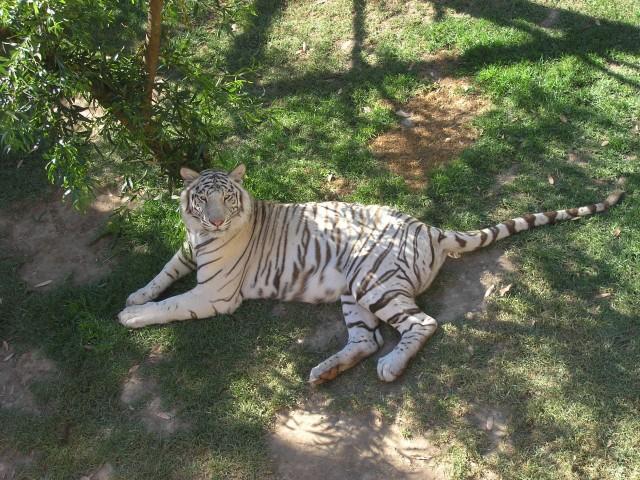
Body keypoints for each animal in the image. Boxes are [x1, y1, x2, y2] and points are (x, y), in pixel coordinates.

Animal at [118, 164, 623, 384]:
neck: (200, 237)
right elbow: (162, 275)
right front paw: (136, 296)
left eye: (227, 198)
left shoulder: (214, 293)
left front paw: (132, 316)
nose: (217, 221)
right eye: (202, 199)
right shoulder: (186, 253)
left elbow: (172, 303)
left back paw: (391, 368)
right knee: (367, 339)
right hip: (353, 290)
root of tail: (430, 228)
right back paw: (324, 372)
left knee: (420, 324)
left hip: (372, 282)